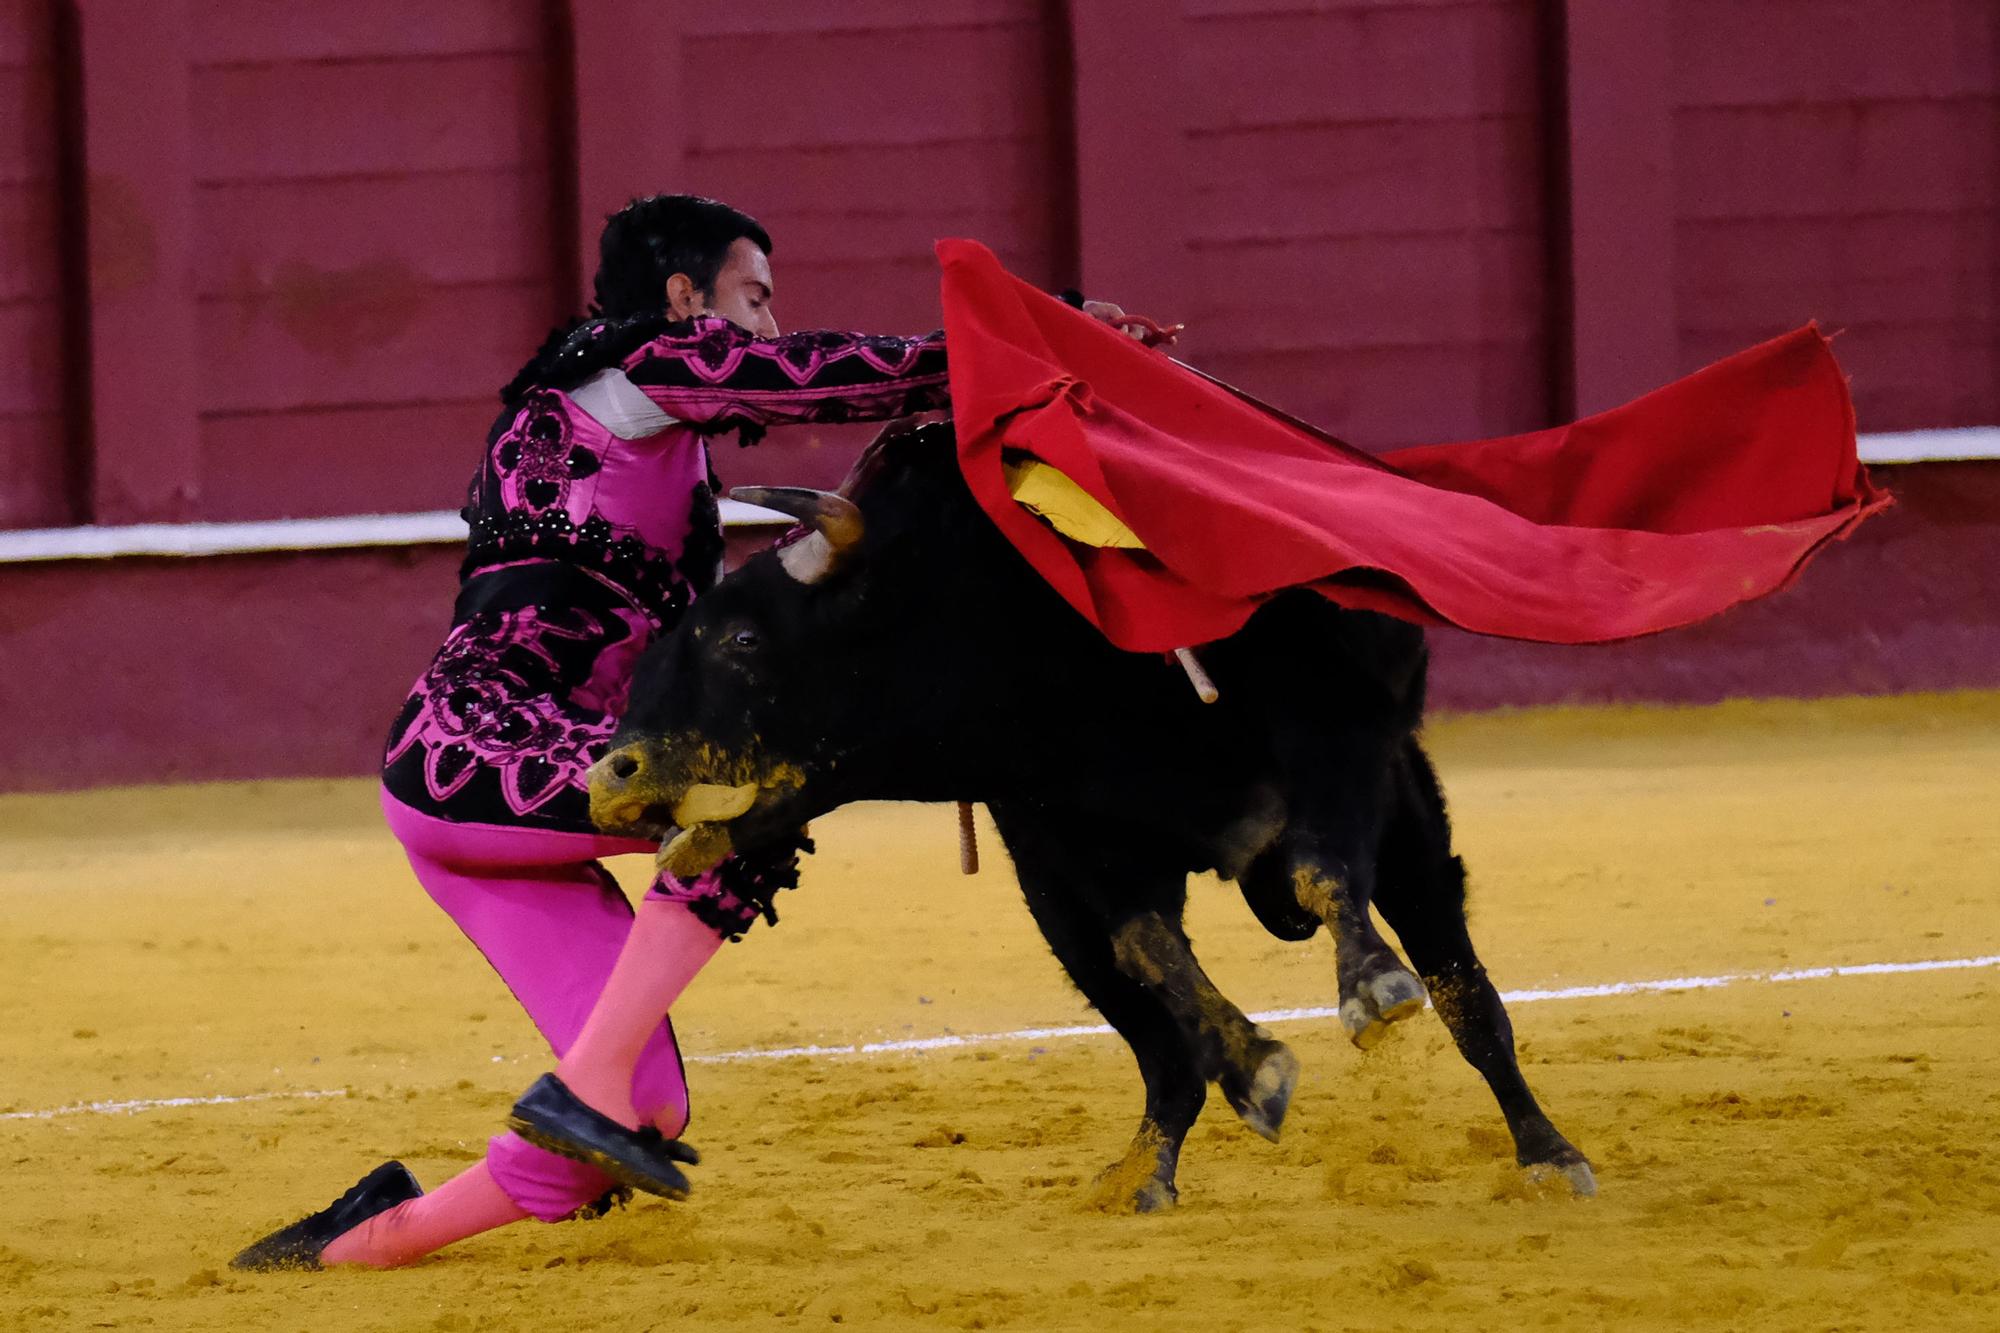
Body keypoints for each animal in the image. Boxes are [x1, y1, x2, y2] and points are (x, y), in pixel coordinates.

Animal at [588, 422, 1592, 1200]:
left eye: (744, 637)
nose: (610, 773)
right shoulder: (1061, 847)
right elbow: (1146, 951)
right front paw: (1254, 1072)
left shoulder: (1341, 738)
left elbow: (1327, 871)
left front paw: (1374, 987)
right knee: (1161, 1040)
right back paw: (1143, 1170)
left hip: (1409, 803)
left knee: (1461, 985)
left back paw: (1547, 1151)